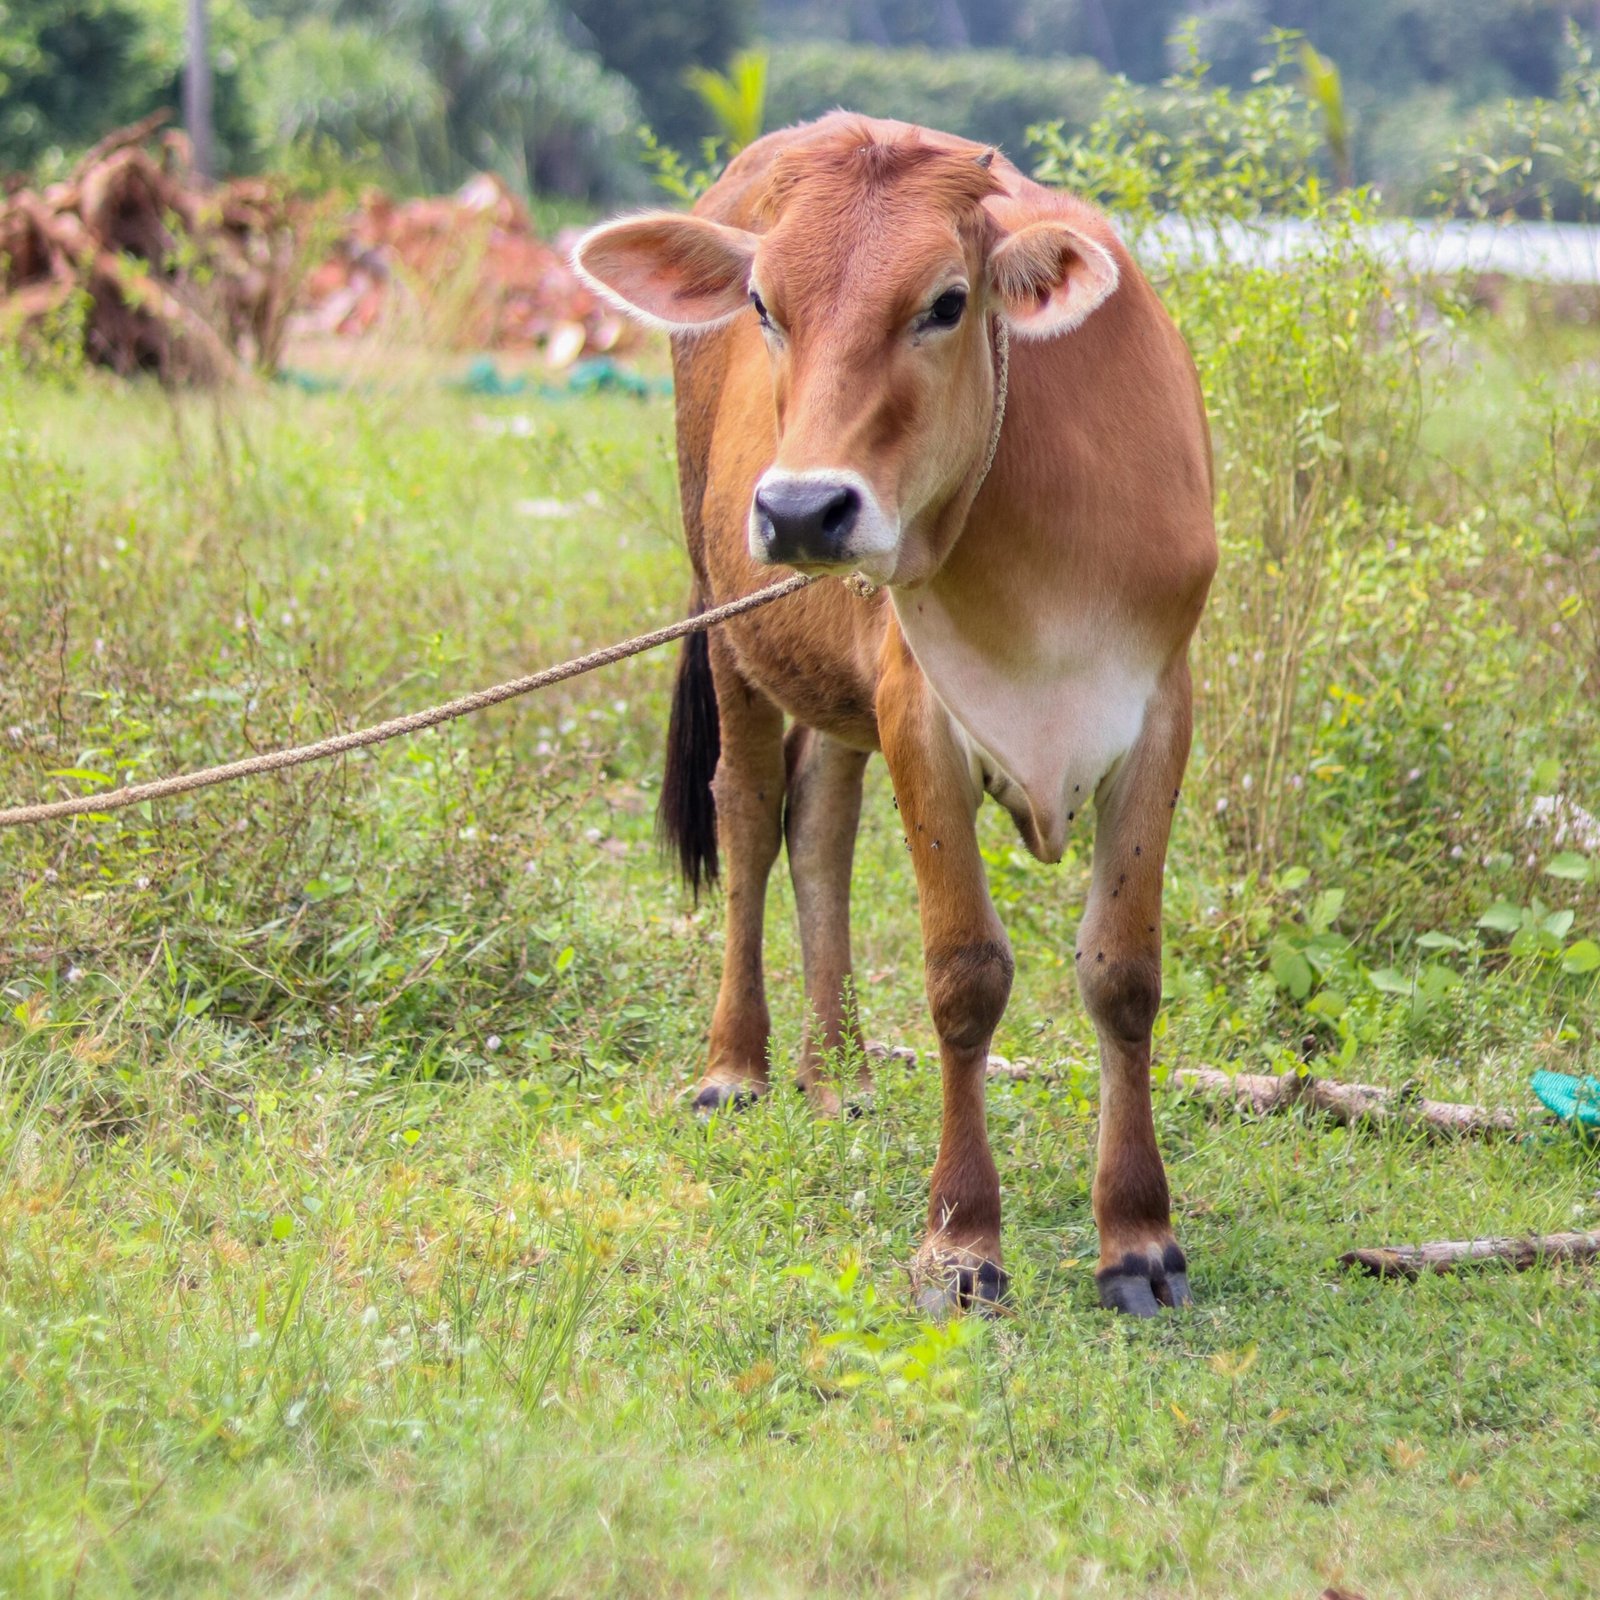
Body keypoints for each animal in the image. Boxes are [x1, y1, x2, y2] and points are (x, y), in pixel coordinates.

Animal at [573, 115, 1216, 1316]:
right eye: (764, 305)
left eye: (946, 302)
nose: (799, 509)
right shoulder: (922, 709)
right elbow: (965, 974)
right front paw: (961, 1240)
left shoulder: (1160, 707)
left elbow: (1122, 975)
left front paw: (1138, 1237)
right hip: (730, 618)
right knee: (748, 814)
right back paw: (738, 1066)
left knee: (820, 822)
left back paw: (839, 1072)